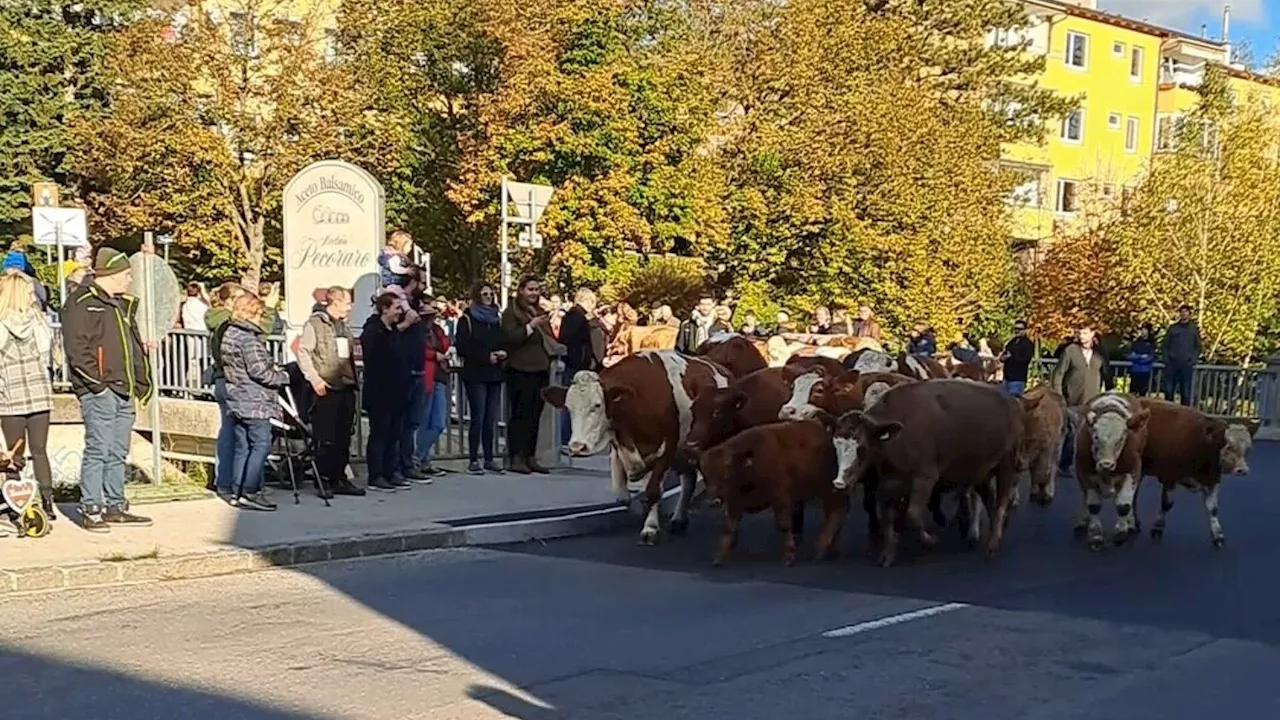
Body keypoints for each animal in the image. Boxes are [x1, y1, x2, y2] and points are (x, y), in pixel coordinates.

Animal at [545, 348, 737, 543]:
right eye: (568, 407)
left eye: (597, 405)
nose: (577, 446)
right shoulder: (625, 446)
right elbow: (623, 487)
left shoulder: (667, 449)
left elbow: (653, 490)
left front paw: (650, 528)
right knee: (689, 479)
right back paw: (678, 519)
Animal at [701, 417, 849, 563]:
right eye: (705, 475)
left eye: (726, 473)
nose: (714, 500)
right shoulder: (734, 502)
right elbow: (729, 527)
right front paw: (719, 557)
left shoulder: (780, 498)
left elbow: (783, 524)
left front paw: (789, 556)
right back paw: (831, 548)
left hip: (826, 488)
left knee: (837, 511)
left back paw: (821, 549)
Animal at [829, 379, 1029, 568]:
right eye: (836, 445)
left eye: (861, 449)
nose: (839, 483)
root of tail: (1011, 400)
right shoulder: (887, 485)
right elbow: (887, 520)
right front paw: (888, 554)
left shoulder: (925, 478)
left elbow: (913, 516)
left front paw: (931, 541)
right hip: (981, 472)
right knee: (989, 501)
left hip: (1007, 464)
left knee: (1002, 502)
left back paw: (992, 545)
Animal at [1070, 392, 1152, 548]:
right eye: (1096, 437)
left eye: (1120, 439)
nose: (1106, 464)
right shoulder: (1084, 472)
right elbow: (1093, 505)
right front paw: (1095, 534)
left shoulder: (1133, 470)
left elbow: (1124, 505)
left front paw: (1121, 531)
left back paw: (1130, 522)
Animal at [1141, 394, 1259, 545]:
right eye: (1229, 446)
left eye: (1248, 448)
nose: (1242, 470)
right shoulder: (1170, 477)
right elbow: (1166, 504)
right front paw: (1157, 527)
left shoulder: (1212, 480)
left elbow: (1213, 509)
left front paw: (1218, 535)